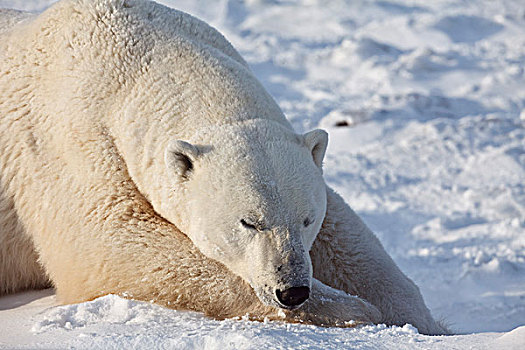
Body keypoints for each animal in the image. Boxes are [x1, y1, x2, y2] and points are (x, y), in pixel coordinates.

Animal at [0, 0, 446, 334]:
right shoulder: (66, 143)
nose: (292, 290)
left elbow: (345, 235)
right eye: (249, 222)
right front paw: (352, 309)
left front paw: (425, 321)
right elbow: (107, 242)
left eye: (306, 219)